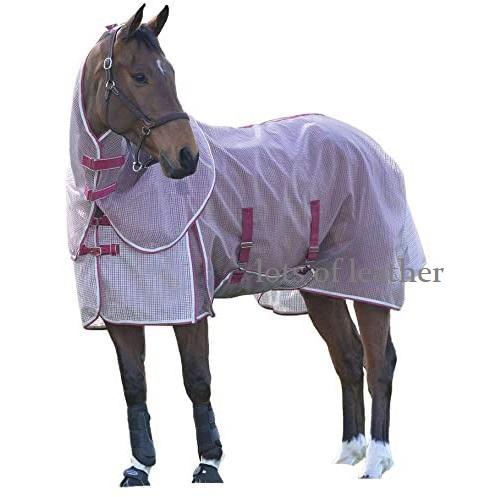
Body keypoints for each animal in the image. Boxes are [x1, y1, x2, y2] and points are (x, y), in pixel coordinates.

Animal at [68, 4, 424, 485]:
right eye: (140, 76)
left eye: (170, 73)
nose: (186, 157)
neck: (110, 200)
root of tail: (374, 149)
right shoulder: (123, 314)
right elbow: (134, 386)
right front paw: (139, 467)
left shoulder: (191, 305)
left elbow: (197, 378)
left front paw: (209, 463)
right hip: (320, 288)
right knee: (348, 356)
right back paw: (350, 451)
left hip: (366, 284)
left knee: (379, 362)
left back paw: (376, 462)